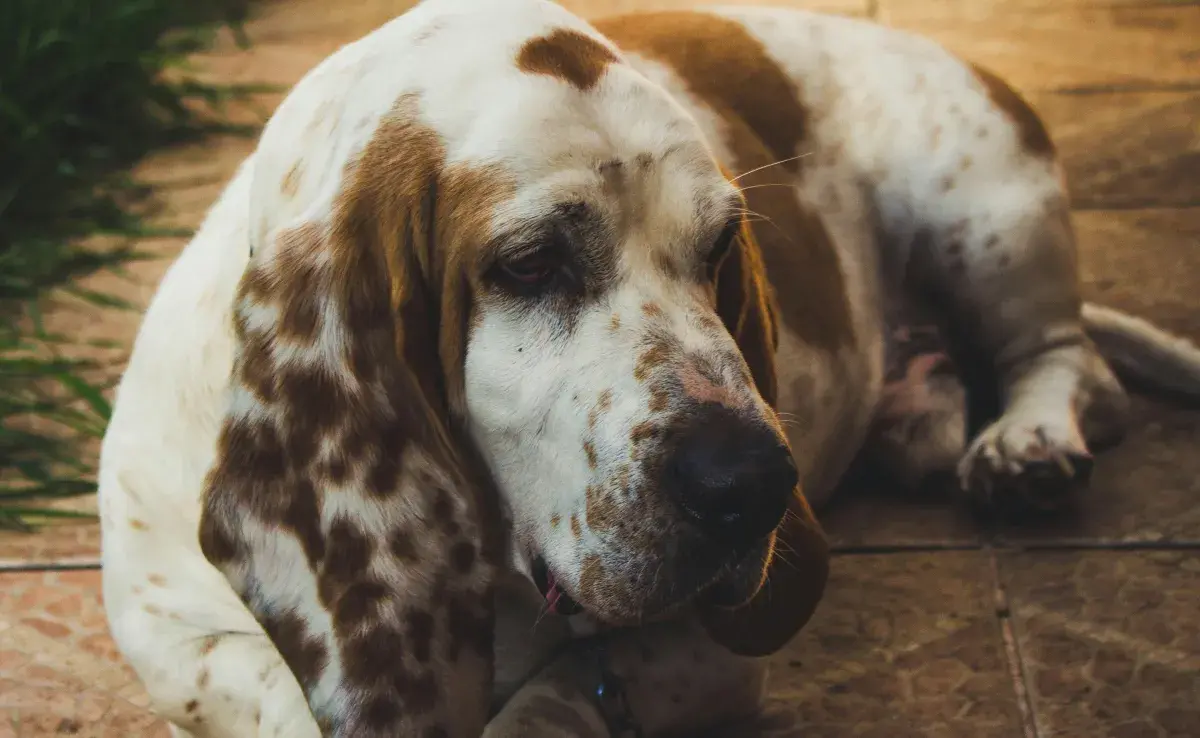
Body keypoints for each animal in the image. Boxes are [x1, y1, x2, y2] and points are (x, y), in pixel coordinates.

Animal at [100, 2, 1200, 734]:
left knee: (1068, 362)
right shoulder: (180, 643)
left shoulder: (694, 658)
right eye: (529, 263)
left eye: (718, 250)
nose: (756, 485)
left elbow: (550, 706)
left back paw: (1027, 443)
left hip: (986, 212)